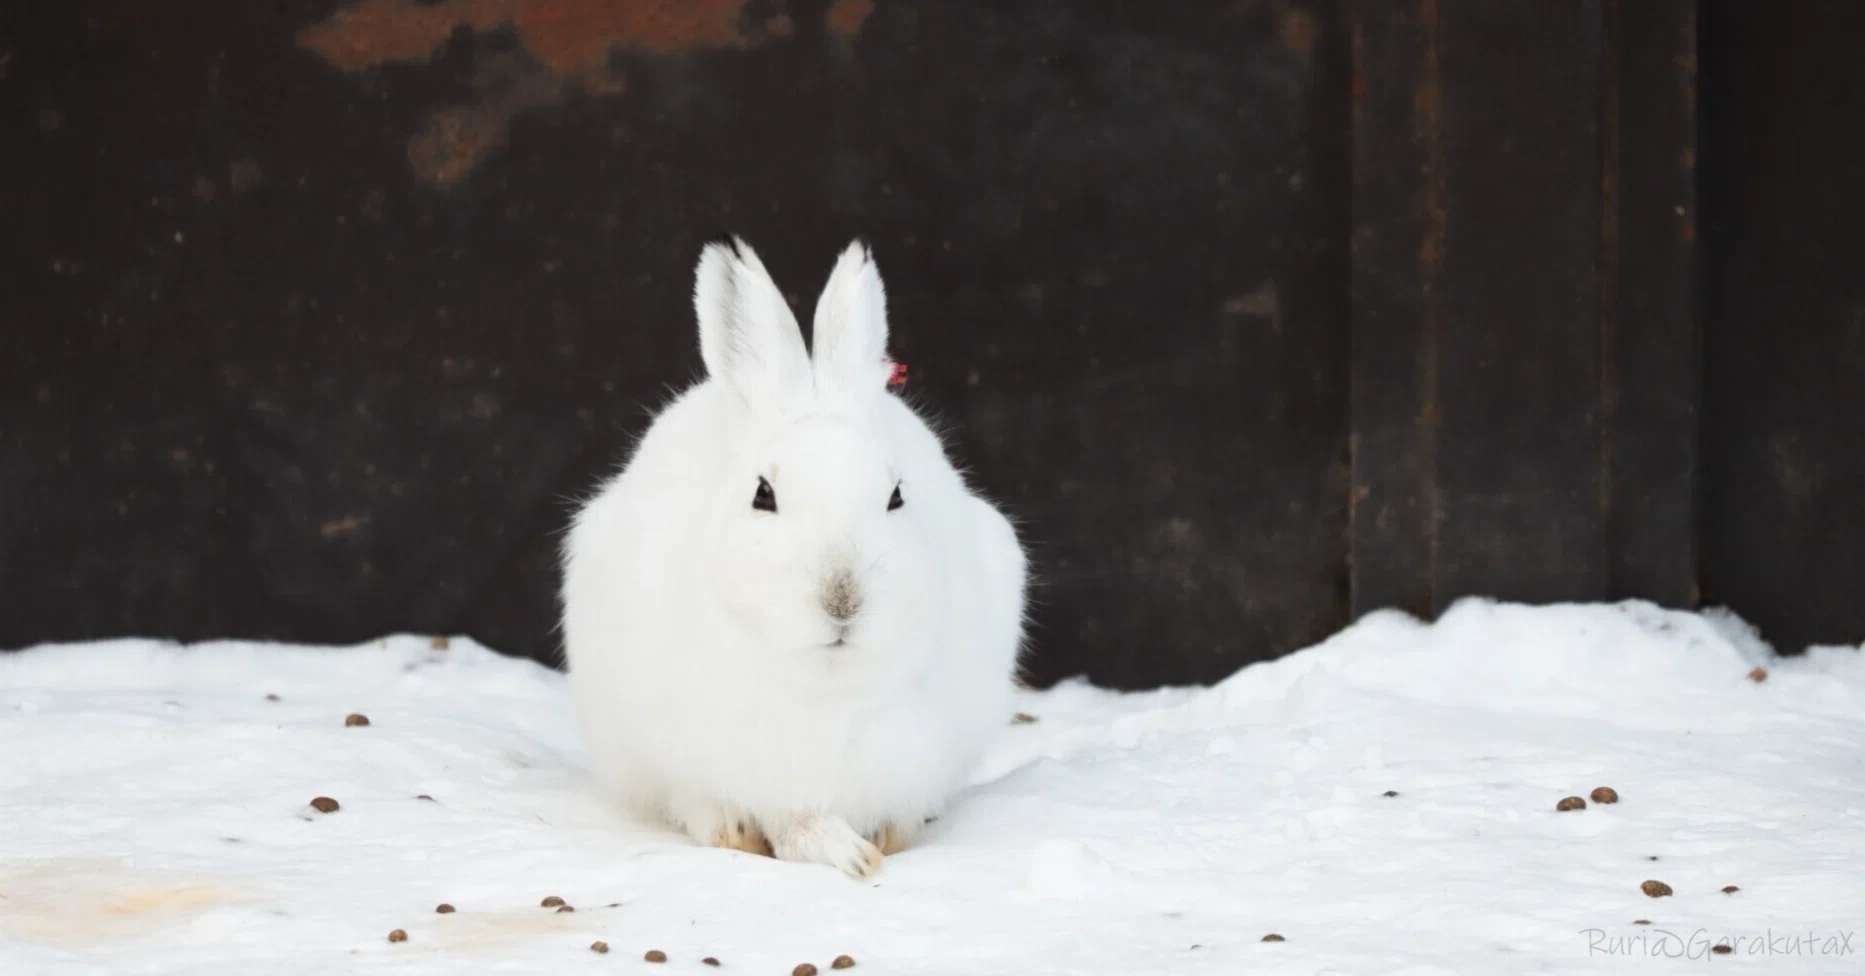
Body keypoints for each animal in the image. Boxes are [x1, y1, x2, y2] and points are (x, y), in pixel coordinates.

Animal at [560, 235, 1028, 878]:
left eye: (897, 496)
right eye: (764, 495)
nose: (843, 600)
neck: (823, 681)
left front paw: (880, 840)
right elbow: (778, 819)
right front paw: (841, 853)